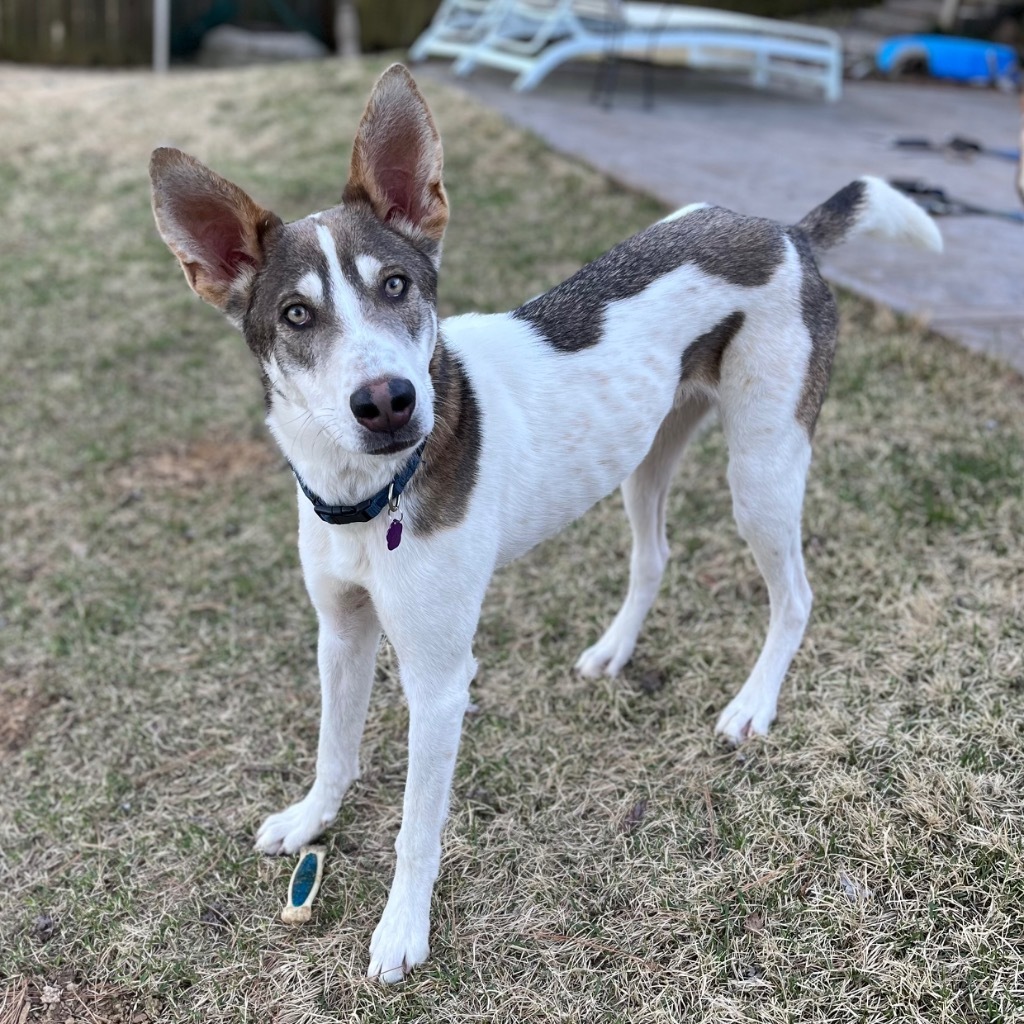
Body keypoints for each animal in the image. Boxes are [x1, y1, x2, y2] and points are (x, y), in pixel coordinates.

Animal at [148, 61, 937, 974]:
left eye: (396, 286)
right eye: (296, 316)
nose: (387, 401)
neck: (369, 495)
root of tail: (789, 232)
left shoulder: (439, 681)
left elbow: (416, 827)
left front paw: (402, 929)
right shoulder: (341, 629)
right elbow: (334, 747)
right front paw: (313, 818)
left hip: (763, 468)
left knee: (795, 596)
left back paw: (753, 706)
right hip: (646, 453)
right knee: (654, 555)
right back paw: (614, 651)